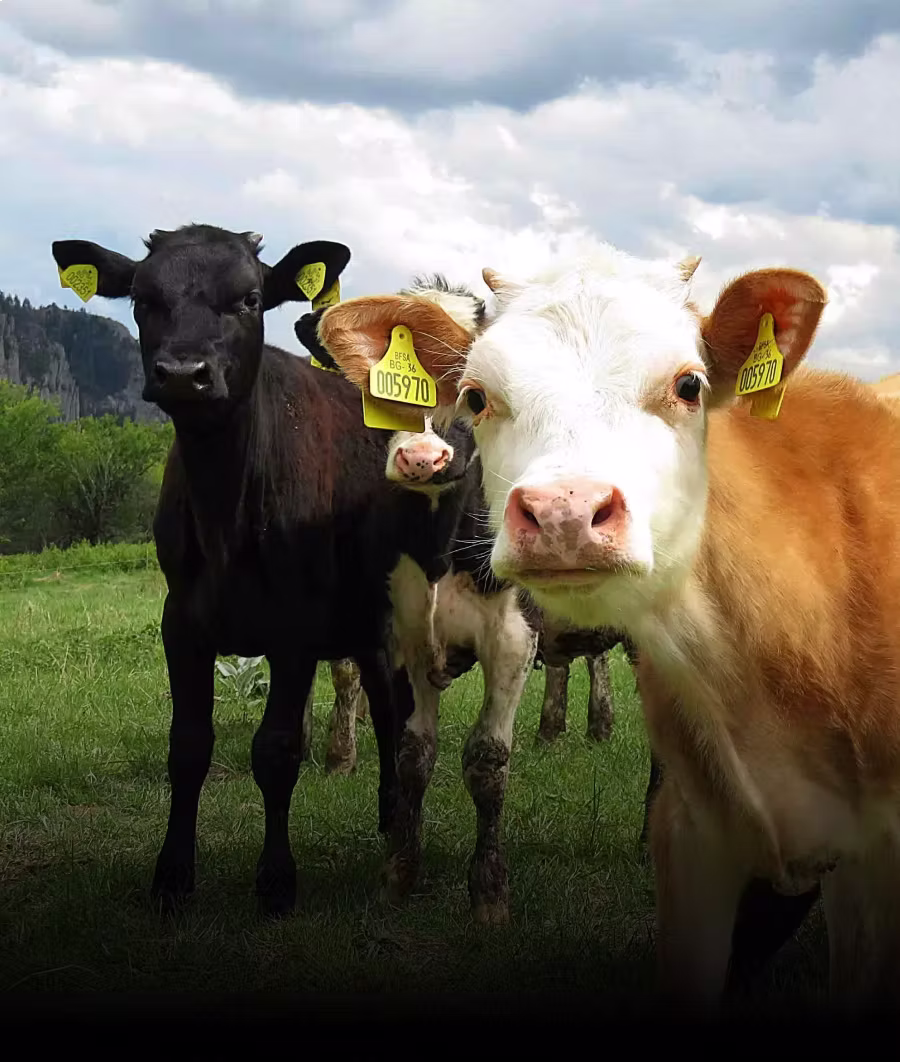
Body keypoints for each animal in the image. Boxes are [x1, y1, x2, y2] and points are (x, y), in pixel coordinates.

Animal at [312, 251, 884, 1009]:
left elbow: (485, 762)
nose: (421, 460)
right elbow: (413, 754)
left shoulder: (511, 640)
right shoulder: (407, 634)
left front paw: (487, 893)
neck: (440, 540)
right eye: (474, 394)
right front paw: (400, 873)